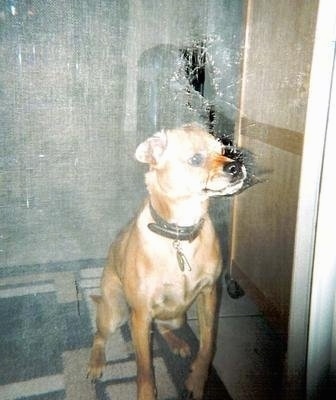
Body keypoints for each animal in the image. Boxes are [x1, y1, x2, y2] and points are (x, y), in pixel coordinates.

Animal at [88, 123, 245, 398]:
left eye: (224, 150)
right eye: (195, 159)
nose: (236, 167)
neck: (180, 234)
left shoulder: (209, 295)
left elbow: (207, 344)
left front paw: (197, 381)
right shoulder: (140, 315)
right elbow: (144, 370)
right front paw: (147, 393)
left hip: (177, 316)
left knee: (163, 328)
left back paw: (178, 344)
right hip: (117, 312)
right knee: (99, 336)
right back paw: (96, 363)